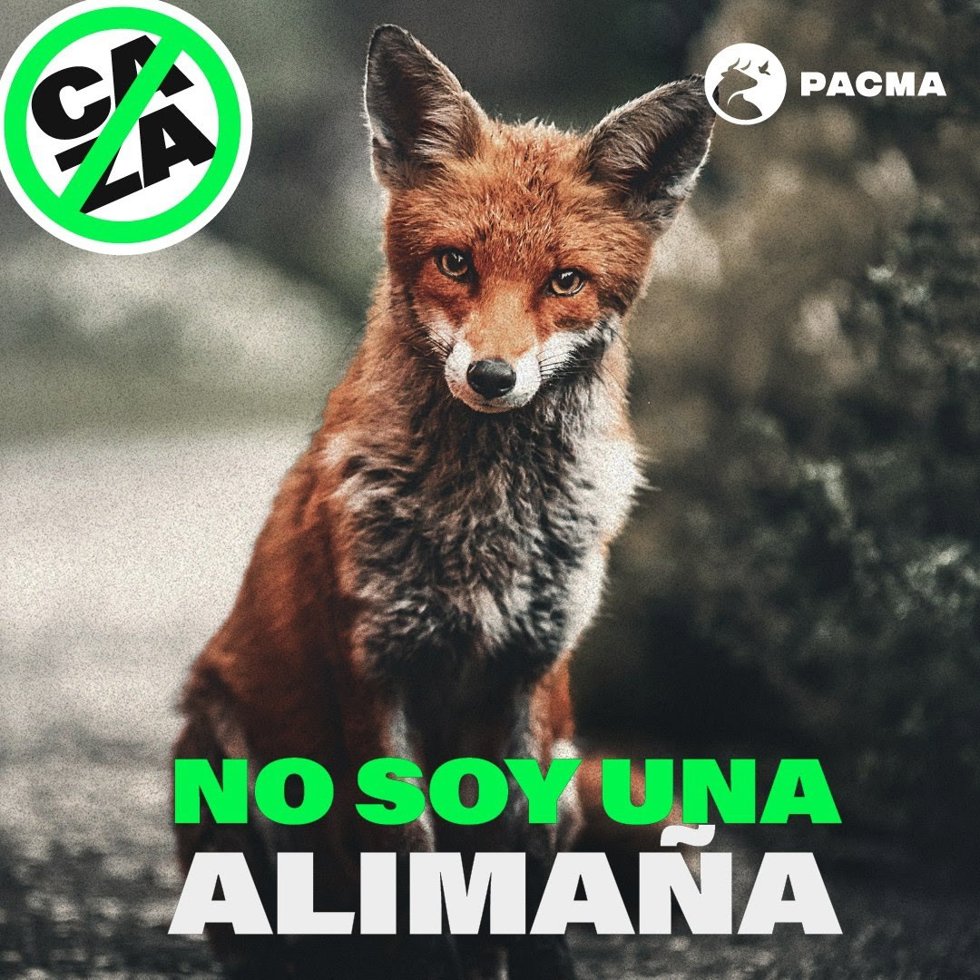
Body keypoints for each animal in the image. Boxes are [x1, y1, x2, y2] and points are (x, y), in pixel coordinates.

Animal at [173, 24, 713, 980]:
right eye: (455, 262)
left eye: (565, 280)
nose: (492, 376)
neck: (486, 522)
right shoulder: (374, 666)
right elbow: (410, 861)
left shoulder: (530, 670)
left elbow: (522, 875)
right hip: (221, 751)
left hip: (564, 750)